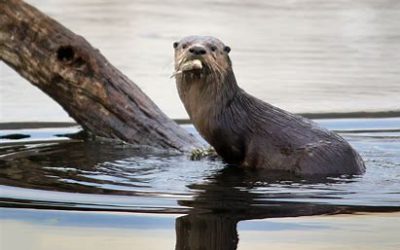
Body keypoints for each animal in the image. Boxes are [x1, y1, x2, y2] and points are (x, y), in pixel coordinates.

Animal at [172, 35, 366, 176]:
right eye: (184, 45)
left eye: (213, 48)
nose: (197, 49)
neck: (223, 110)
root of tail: (359, 165)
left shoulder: (233, 143)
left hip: (315, 159)